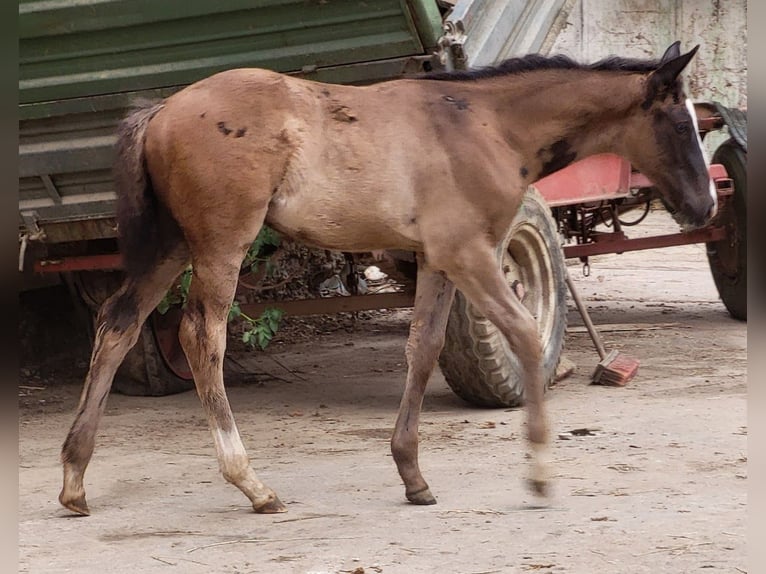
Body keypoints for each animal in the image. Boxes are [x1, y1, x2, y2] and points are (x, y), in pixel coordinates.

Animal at [60, 41, 720, 516]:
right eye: (680, 126)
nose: (707, 206)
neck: (486, 124)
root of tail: (159, 112)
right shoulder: (471, 252)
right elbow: (524, 336)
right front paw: (538, 472)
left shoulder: (436, 258)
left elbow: (422, 349)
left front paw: (412, 476)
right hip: (222, 243)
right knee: (201, 335)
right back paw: (251, 483)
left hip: (172, 244)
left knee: (117, 323)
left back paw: (73, 478)